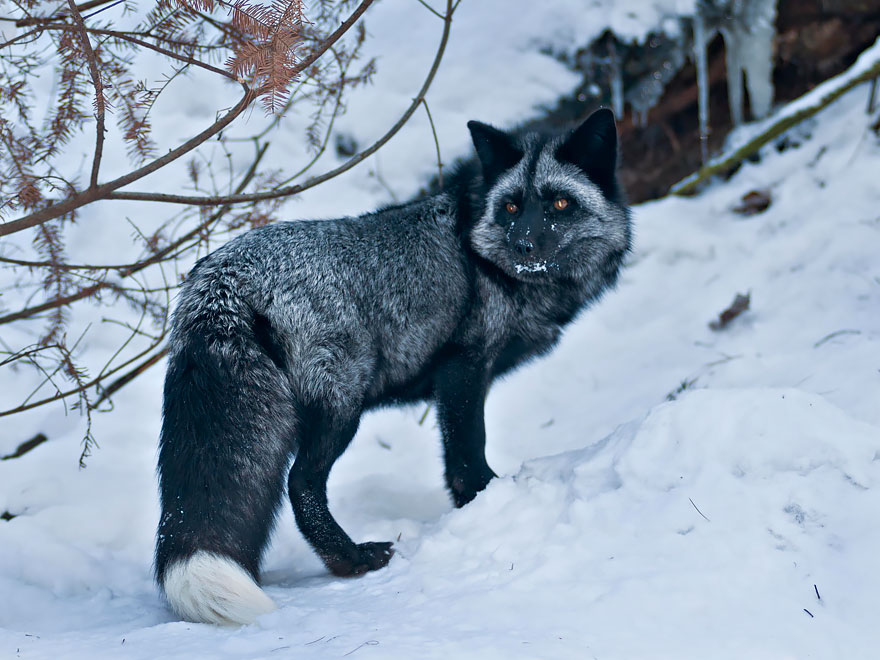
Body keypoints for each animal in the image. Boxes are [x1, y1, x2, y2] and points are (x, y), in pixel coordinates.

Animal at [155, 108, 632, 625]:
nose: (522, 244)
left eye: (560, 203)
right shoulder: (463, 366)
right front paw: (485, 500)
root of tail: (221, 282)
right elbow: (467, 455)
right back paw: (353, 559)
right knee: (301, 484)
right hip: (342, 405)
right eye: (511, 207)